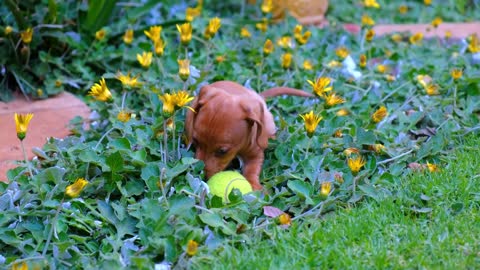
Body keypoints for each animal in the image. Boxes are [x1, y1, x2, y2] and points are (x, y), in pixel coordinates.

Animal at [186, 80, 314, 190]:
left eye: (222, 151)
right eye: (195, 141)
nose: (200, 175)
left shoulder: (256, 154)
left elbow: (252, 170)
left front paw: (255, 186)